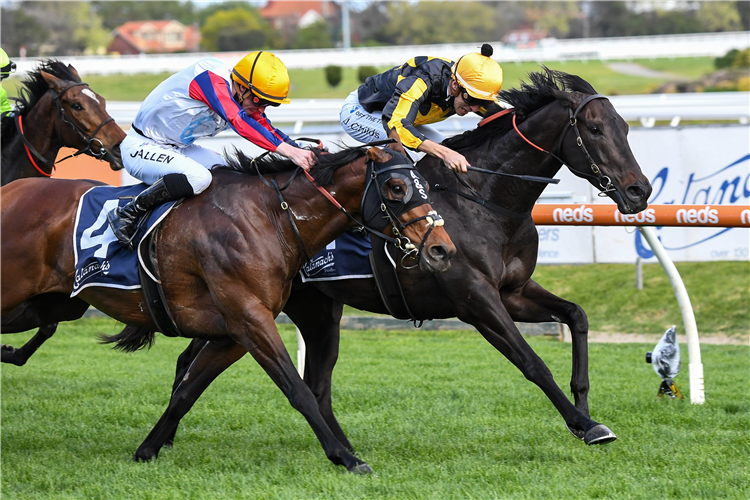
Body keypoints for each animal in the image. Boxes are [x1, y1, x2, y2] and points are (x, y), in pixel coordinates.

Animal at [0, 146, 458, 472]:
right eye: (396, 187)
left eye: (425, 185)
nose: (442, 249)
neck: (271, 218)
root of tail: (10, 190)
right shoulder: (250, 319)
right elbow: (298, 390)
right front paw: (346, 458)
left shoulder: (231, 333)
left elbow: (186, 392)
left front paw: (147, 449)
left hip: (50, 304)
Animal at [145, 68, 652, 466]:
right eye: (595, 129)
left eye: (626, 127)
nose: (639, 192)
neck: (484, 197)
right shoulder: (475, 298)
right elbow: (532, 362)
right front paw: (584, 423)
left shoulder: (512, 291)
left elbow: (576, 316)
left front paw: (585, 404)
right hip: (256, 302)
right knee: (200, 361)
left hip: (306, 309)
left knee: (248, 369)